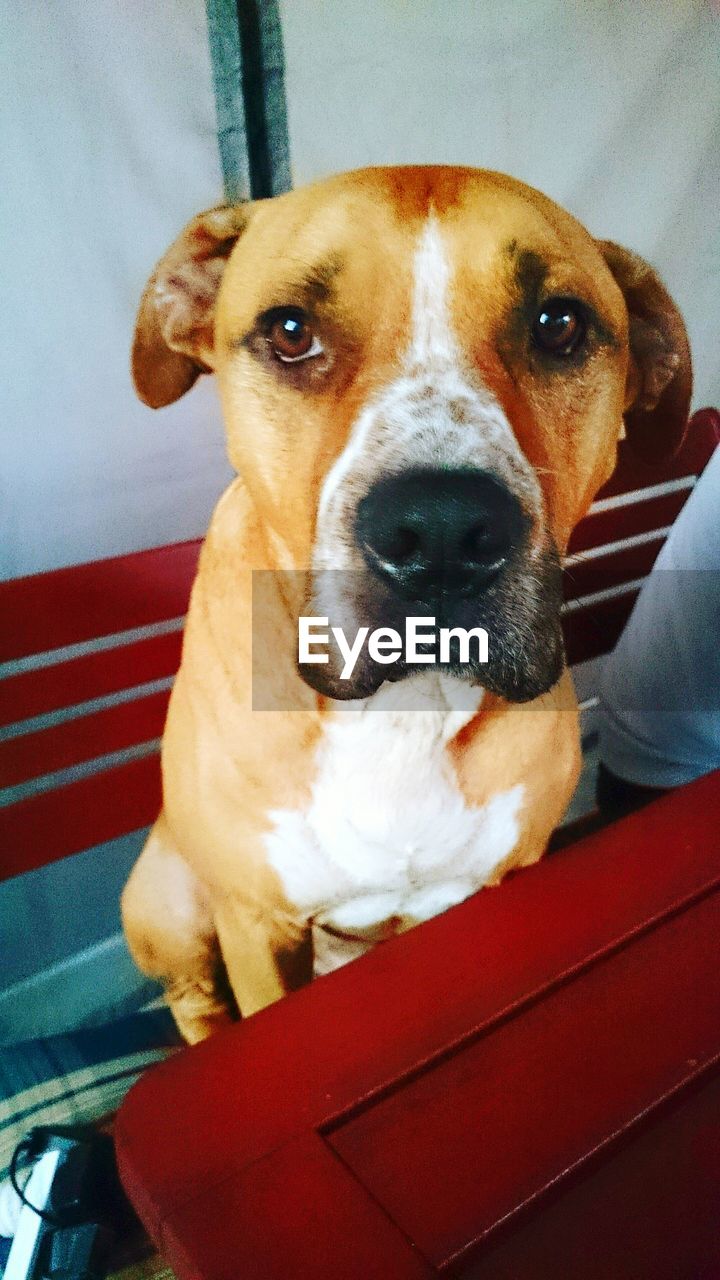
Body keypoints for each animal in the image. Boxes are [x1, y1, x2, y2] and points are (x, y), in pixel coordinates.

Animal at [119, 165, 691, 1039]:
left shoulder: (494, 882)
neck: (403, 709)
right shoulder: (255, 923)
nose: (443, 529)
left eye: (559, 325)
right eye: (291, 331)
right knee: (194, 999)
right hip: (167, 900)